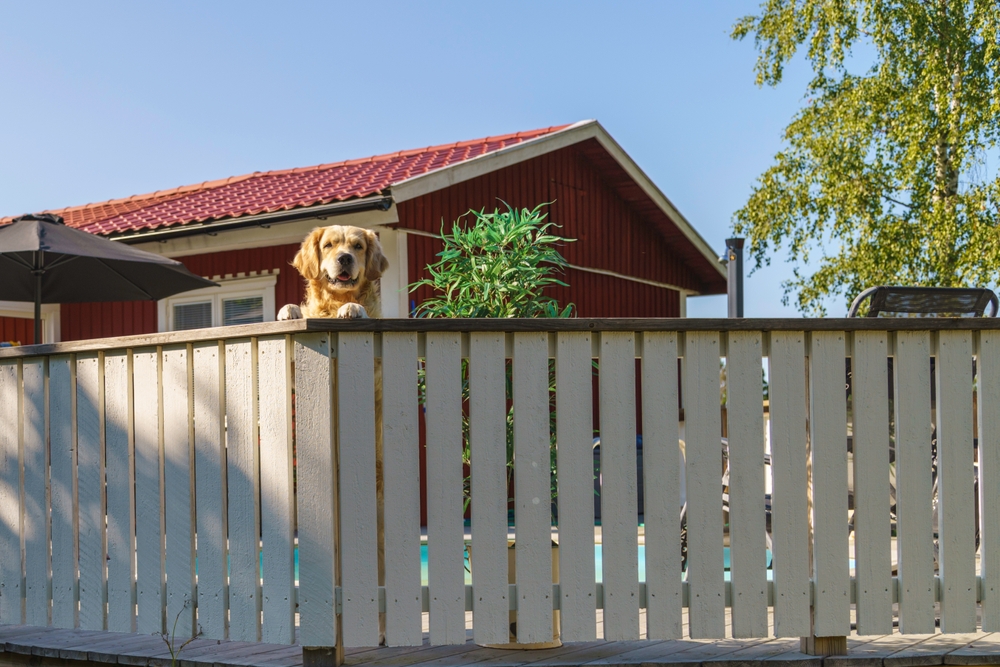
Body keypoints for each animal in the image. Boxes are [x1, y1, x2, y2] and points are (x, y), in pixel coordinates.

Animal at [282, 226, 390, 648]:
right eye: (329, 245)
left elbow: (358, 313)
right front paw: (289, 310)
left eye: (357, 246)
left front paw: (353, 310)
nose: (344, 259)